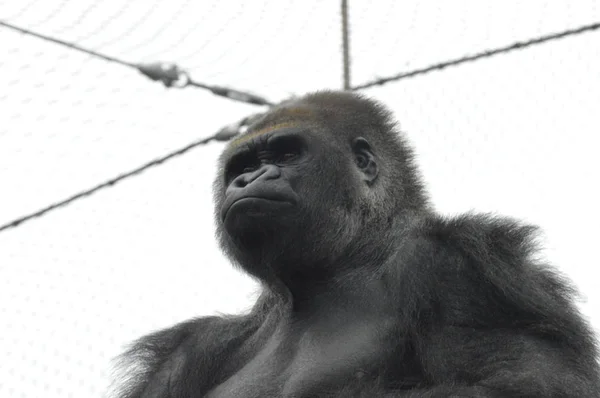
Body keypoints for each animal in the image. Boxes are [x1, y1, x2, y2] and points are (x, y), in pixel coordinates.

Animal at [111, 91, 600, 396]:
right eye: (243, 165)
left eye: (287, 153)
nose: (248, 180)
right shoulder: (194, 348)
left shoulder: (459, 264)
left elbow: (526, 383)